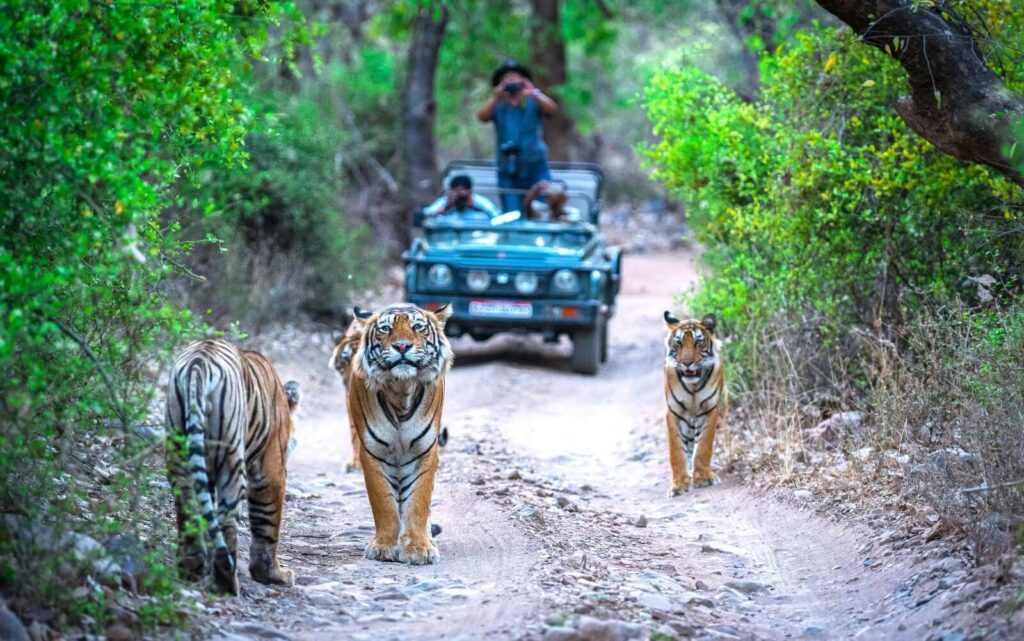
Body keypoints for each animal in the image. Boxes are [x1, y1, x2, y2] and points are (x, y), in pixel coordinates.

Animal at [164, 339, 299, 593]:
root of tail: (199, 362)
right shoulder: (271, 469)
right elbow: (267, 522)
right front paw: (273, 574)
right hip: (231, 460)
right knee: (226, 519)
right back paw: (226, 582)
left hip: (179, 451)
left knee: (189, 507)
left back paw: (191, 569)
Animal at [348, 301, 452, 561]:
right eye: (385, 329)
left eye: (418, 327)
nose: (402, 346)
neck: (400, 390)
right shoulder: (372, 452)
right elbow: (383, 503)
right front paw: (384, 546)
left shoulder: (425, 451)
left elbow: (418, 501)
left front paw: (419, 548)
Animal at [659, 309, 724, 493]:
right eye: (679, 343)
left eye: (698, 343)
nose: (687, 363)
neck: (693, 386)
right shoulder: (673, 412)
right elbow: (676, 451)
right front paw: (679, 484)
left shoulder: (709, 410)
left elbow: (703, 446)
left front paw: (703, 478)